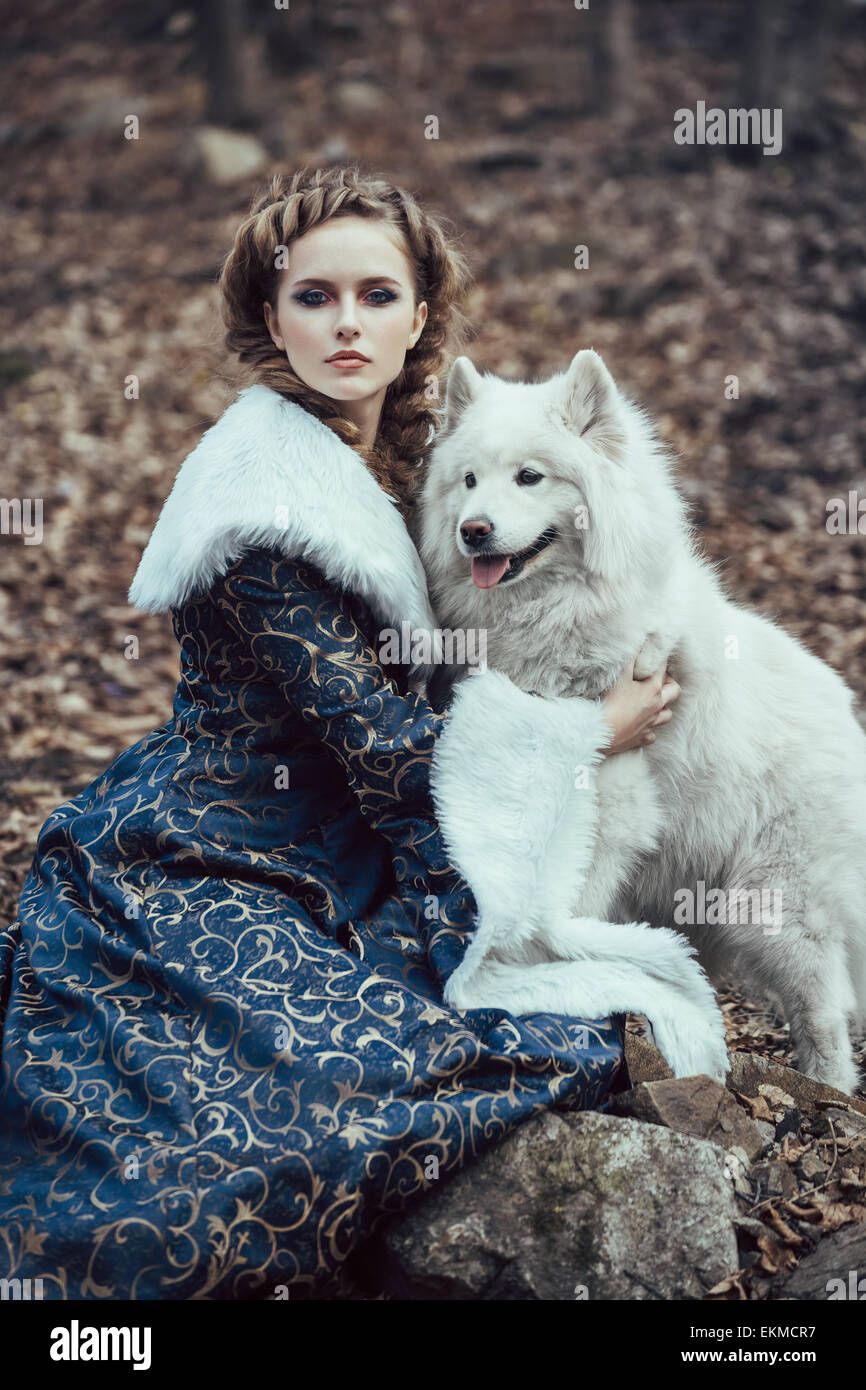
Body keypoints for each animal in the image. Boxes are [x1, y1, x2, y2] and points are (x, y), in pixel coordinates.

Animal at [419, 350, 866, 1095]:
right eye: (470, 480)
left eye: (530, 476)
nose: (472, 530)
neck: (558, 618)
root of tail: (849, 714)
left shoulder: (612, 808)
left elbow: (568, 908)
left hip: (778, 909)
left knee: (824, 1012)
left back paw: (826, 1092)